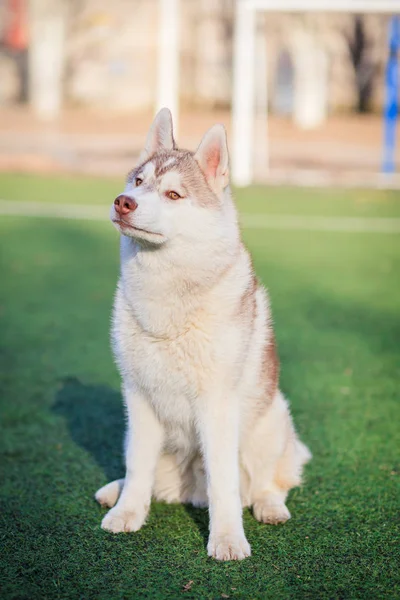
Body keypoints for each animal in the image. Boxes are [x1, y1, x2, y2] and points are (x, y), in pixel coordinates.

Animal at [95, 109, 310, 564]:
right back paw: (114, 491)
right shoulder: (138, 398)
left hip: (273, 420)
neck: (168, 304)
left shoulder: (217, 405)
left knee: (267, 482)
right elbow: (136, 467)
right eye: (137, 182)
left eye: (174, 194)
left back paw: (269, 506)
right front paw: (126, 513)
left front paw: (227, 539)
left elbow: (225, 485)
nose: (124, 202)